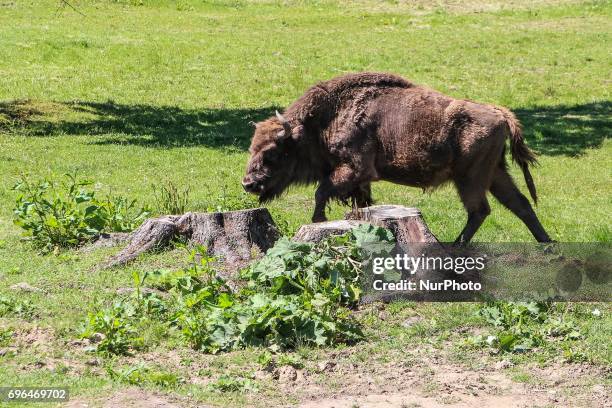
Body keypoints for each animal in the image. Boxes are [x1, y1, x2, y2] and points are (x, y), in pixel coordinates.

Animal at [244, 72, 556, 244]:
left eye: (272, 151)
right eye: (251, 147)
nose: (248, 184)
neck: (321, 122)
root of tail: (500, 113)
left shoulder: (354, 170)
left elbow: (322, 192)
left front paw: (318, 220)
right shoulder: (360, 181)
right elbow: (360, 202)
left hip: (470, 178)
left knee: (480, 210)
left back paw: (455, 246)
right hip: (496, 173)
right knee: (520, 204)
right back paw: (546, 243)